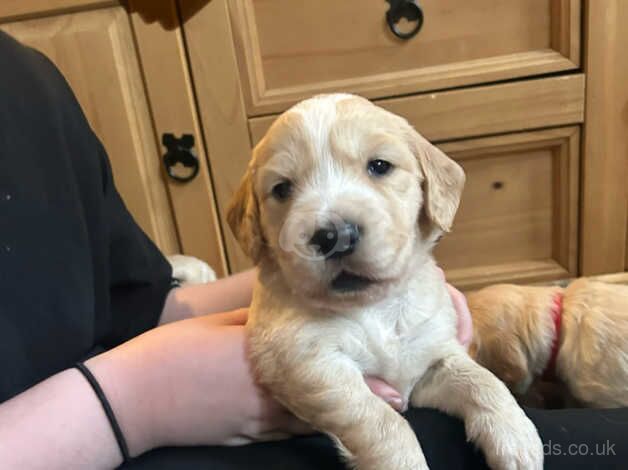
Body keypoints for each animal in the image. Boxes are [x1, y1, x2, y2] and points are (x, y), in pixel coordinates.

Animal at [228, 93, 544, 468]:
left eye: (379, 166)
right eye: (281, 189)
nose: (334, 236)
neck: (374, 307)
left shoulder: (430, 359)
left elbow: (481, 380)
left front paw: (517, 437)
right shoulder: (307, 363)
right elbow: (381, 421)